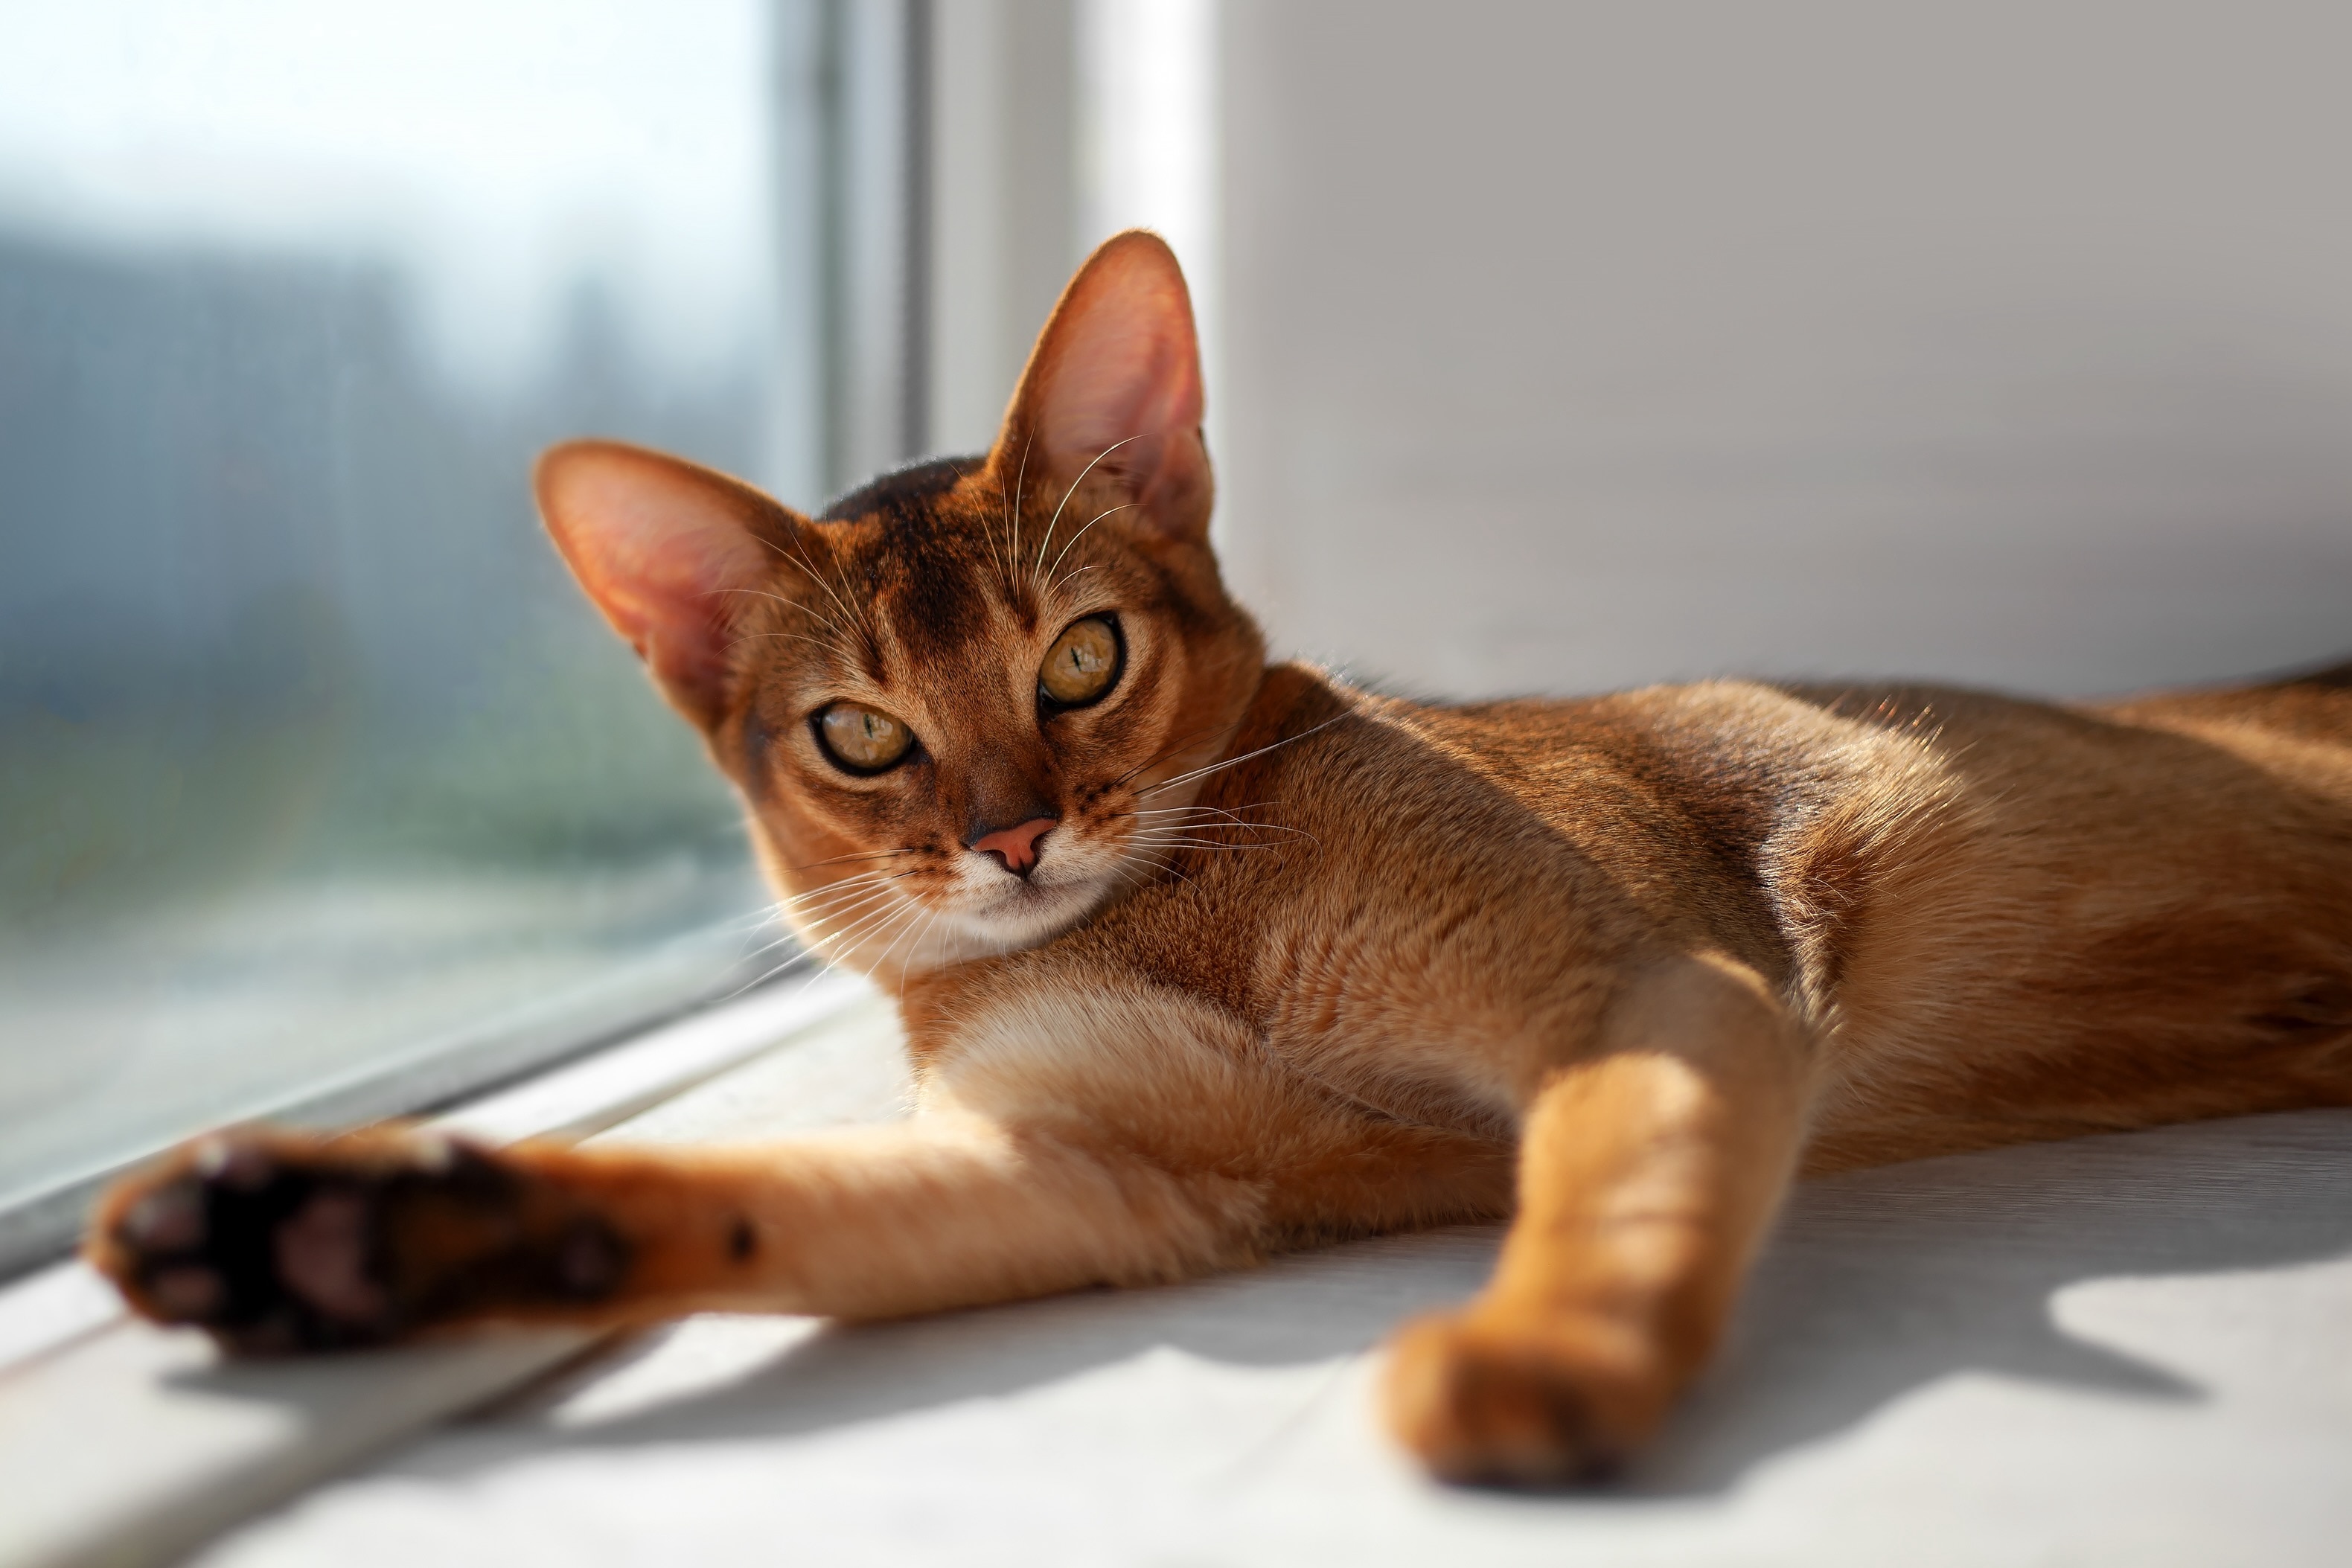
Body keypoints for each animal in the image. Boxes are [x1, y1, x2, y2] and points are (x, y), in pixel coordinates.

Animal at [86, 230, 2352, 1485]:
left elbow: (1615, 1191)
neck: (1163, 923)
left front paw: (1530, 1368)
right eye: (860, 735)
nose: (1010, 835)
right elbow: (744, 1205)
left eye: (1081, 658)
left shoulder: (1643, 991)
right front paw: (336, 1229)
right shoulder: (1091, 1175)